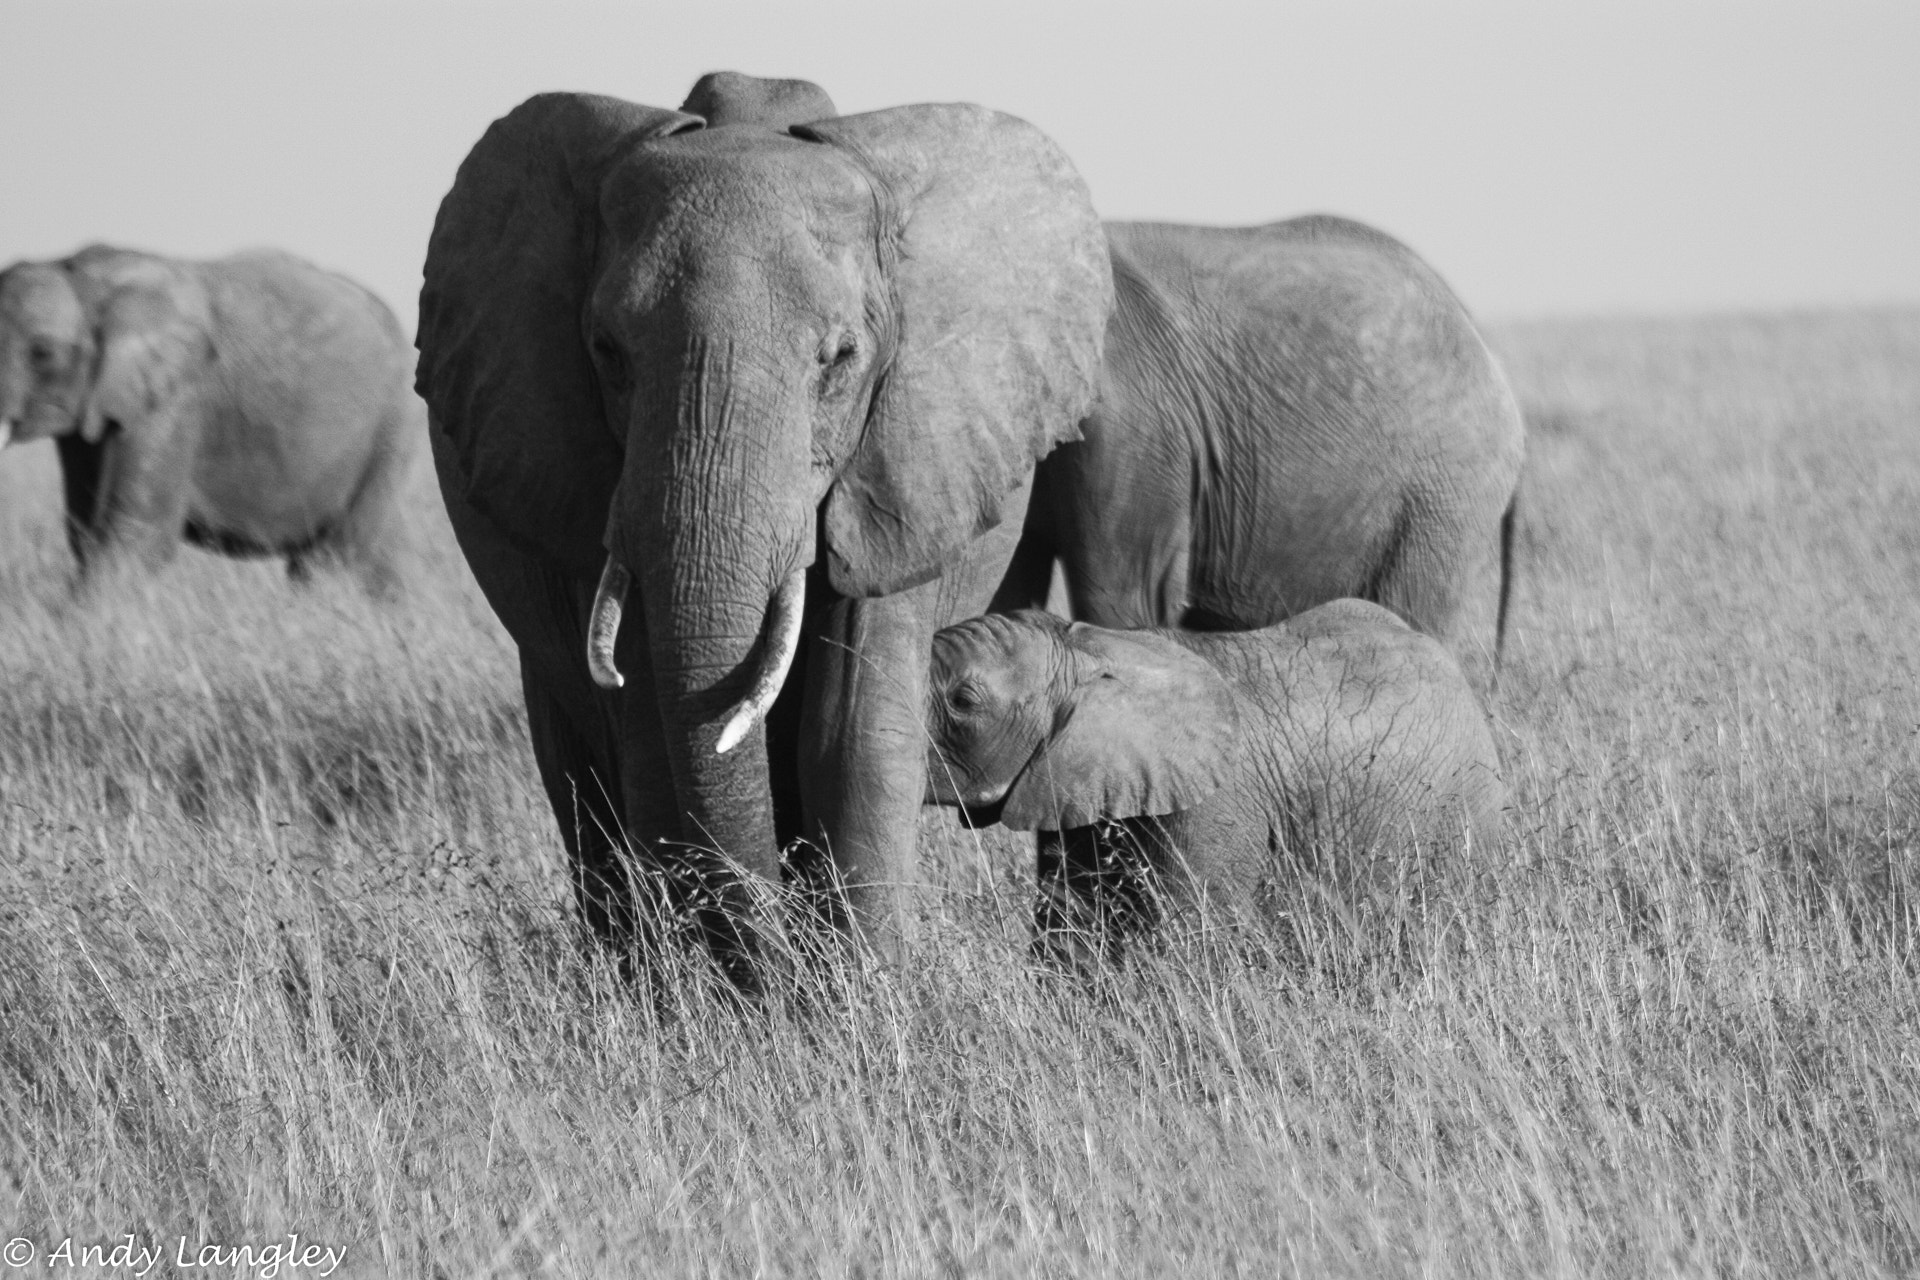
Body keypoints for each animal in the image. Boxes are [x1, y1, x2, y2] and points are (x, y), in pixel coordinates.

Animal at [0, 244, 422, 592]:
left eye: (41, 353)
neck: (81, 275)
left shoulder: (173, 399)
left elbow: (135, 537)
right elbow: (86, 532)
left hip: (393, 421)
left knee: (332, 556)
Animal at [414, 72, 1112, 970]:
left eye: (840, 360)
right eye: (608, 353)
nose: (775, 968)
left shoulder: (901, 467)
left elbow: (852, 738)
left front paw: (860, 989)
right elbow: (649, 736)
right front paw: (704, 991)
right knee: (580, 780)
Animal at [924, 600, 1505, 960]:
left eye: (964, 701)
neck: (1095, 650)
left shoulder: (1216, 801)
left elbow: (1193, 938)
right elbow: (1069, 926)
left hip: (1458, 815)